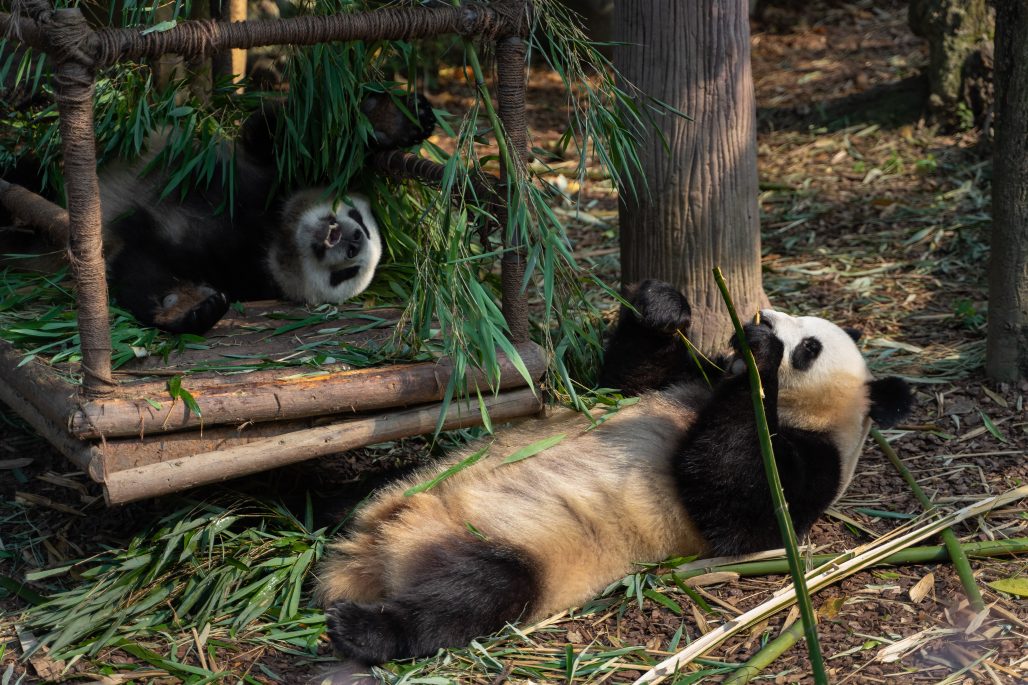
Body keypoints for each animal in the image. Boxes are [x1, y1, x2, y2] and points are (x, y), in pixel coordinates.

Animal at [73, 92, 433, 333]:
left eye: (347, 274)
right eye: (359, 218)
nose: (355, 240)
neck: (275, 235)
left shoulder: (242, 273)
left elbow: (142, 273)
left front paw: (188, 306)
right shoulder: (261, 173)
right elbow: (300, 134)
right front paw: (397, 118)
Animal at [316, 277, 912, 662]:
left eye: (810, 346)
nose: (760, 317)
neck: (809, 415)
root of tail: (370, 552)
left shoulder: (811, 468)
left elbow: (732, 501)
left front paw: (758, 357)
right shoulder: (683, 379)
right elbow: (626, 379)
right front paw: (666, 307)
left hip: (513, 546)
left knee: (475, 596)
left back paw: (361, 629)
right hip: (406, 485)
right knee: (355, 498)